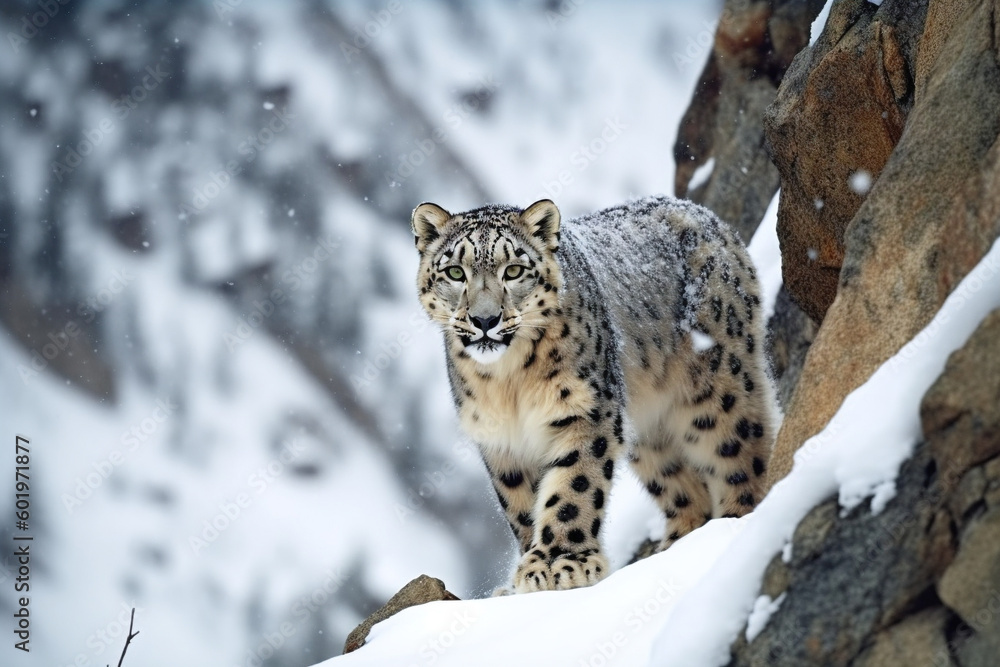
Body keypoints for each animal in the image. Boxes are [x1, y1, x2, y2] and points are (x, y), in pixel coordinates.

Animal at [410, 195, 777, 594]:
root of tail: (704, 214)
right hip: (648, 432)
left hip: (717, 395)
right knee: (685, 491)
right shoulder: (501, 440)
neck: (508, 382)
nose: (485, 320)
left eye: (513, 270)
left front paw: (561, 562)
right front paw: (525, 575)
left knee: (741, 461)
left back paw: (735, 529)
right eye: (455, 273)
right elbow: (522, 503)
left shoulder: (585, 412)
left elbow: (574, 487)